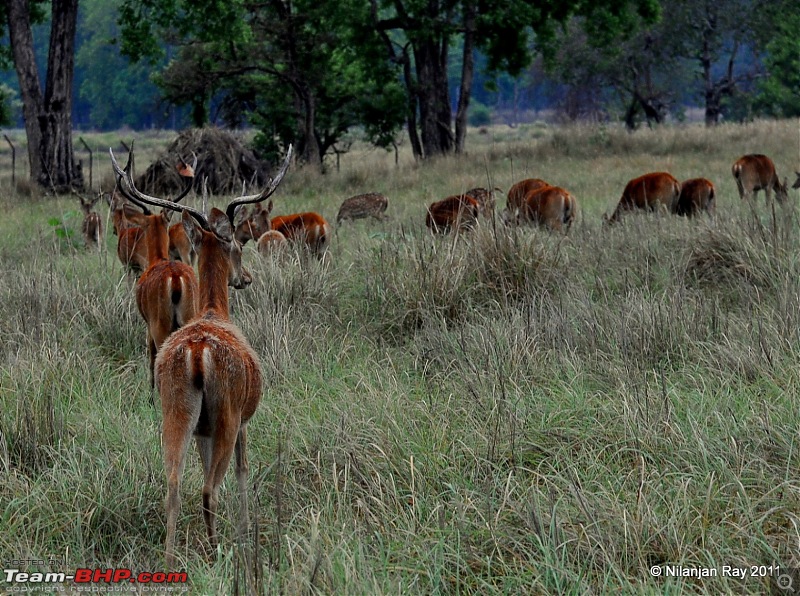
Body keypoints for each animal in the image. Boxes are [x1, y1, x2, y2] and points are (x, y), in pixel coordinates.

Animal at [109, 149, 200, 394]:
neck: (158, 258)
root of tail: (176, 279)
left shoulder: (148, 325)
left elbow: (149, 358)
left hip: (161, 325)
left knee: (160, 358)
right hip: (188, 318)